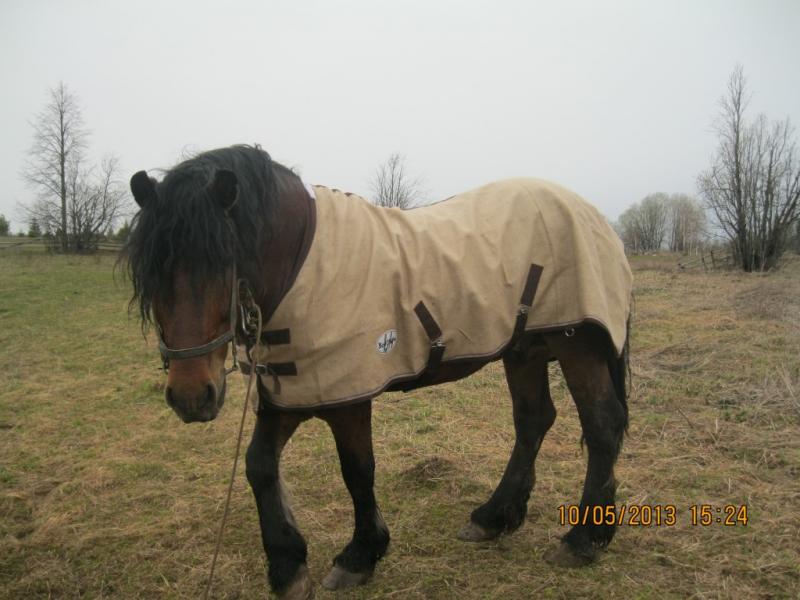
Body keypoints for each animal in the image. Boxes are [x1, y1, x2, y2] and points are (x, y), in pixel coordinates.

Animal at [122, 144, 632, 599]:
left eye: (223, 262)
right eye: (151, 273)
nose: (191, 396)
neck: (302, 263)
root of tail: (591, 215)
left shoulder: (348, 395)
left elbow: (357, 470)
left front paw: (360, 555)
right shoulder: (290, 391)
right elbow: (259, 466)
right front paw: (287, 566)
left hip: (577, 343)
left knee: (601, 425)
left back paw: (584, 539)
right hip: (524, 349)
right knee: (532, 421)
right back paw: (493, 516)